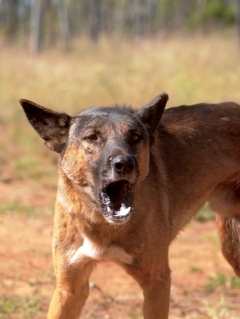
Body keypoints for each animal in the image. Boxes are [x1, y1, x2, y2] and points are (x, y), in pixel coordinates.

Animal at [20, 94, 240, 319]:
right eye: (91, 137)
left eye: (135, 137)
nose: (125, 163)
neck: (103, 226)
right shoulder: (69, 287)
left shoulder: (157, 281)